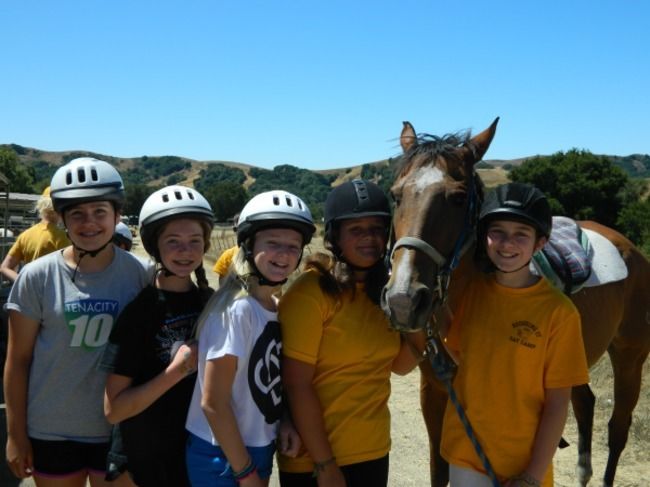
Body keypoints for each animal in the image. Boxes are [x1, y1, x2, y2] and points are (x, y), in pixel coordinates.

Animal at [380, 119, 648, 487]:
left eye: (458, 197)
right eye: (396, 195)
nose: (403, 299)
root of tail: (629, 248)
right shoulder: (433, 392)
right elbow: (438, 469)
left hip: (629, 356)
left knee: (618, 427)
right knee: (585, 403)